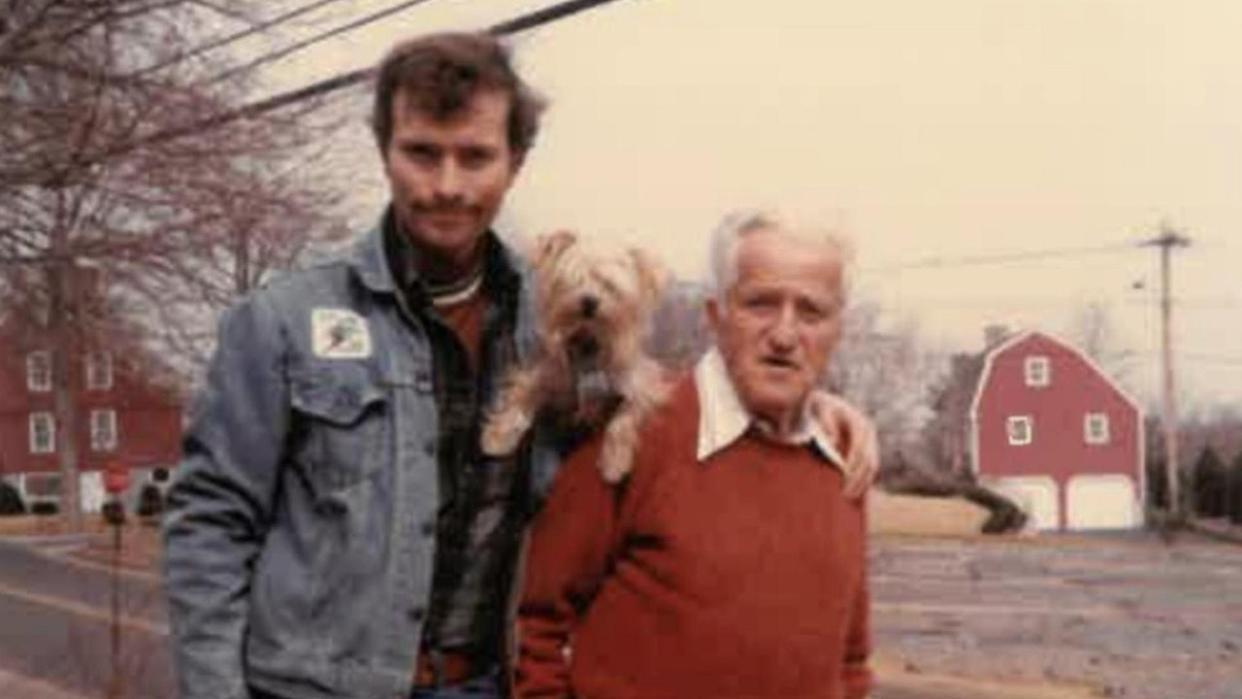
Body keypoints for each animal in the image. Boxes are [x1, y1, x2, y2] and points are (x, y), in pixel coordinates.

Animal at [479, 229, 670, 481]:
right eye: (573, 281)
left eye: (609, 286)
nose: (589, 300)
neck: (588, 342)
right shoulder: (545, 378)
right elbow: (521, 399)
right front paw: (499, 436)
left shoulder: (642, 387)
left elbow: (623, 418)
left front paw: (614, 461)